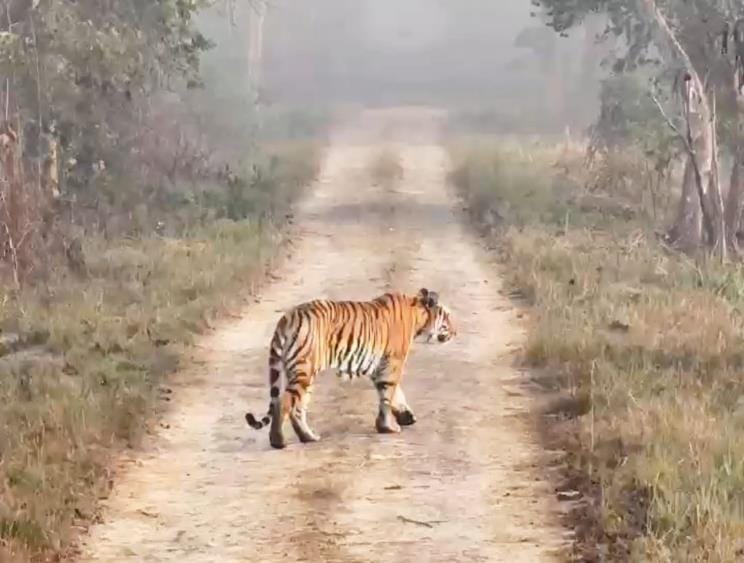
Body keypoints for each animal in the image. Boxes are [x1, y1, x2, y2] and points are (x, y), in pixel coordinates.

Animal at [245, 288, 456, 449]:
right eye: (447, 316)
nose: (455, 331)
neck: (418, 313)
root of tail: (287, 317)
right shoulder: (392, 363)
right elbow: (388, 394)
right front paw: (388, 427)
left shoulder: (380, 367)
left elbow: (395, 394)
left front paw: (405, 416)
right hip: (304, 369)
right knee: (285, 402)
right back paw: (278, 441)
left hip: (301, 373)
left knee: (297, 407)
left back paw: (308, 437)